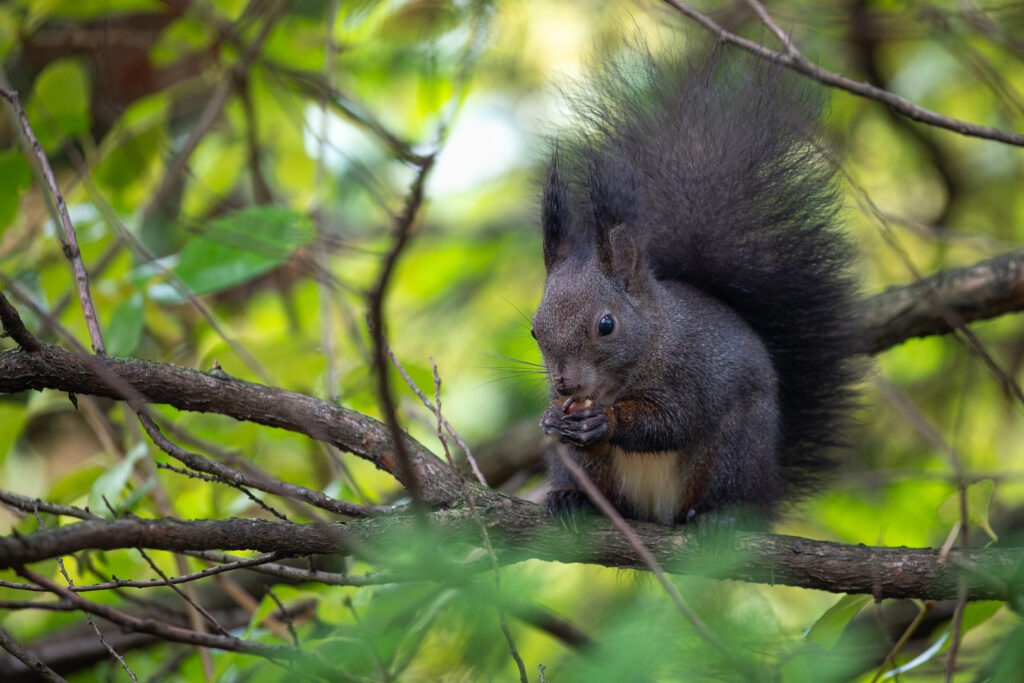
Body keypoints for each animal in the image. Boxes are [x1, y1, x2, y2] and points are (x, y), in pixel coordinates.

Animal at [531, 44, 860, 527]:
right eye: (535, 330)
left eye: (606, 325)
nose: (565, 385)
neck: (655, 338)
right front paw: (551, 421)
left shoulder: (693, 375)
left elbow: (671, 422)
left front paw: (607, 421)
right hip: (585, 466)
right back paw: (575, 498)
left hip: (732, 451)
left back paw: (719, 515)